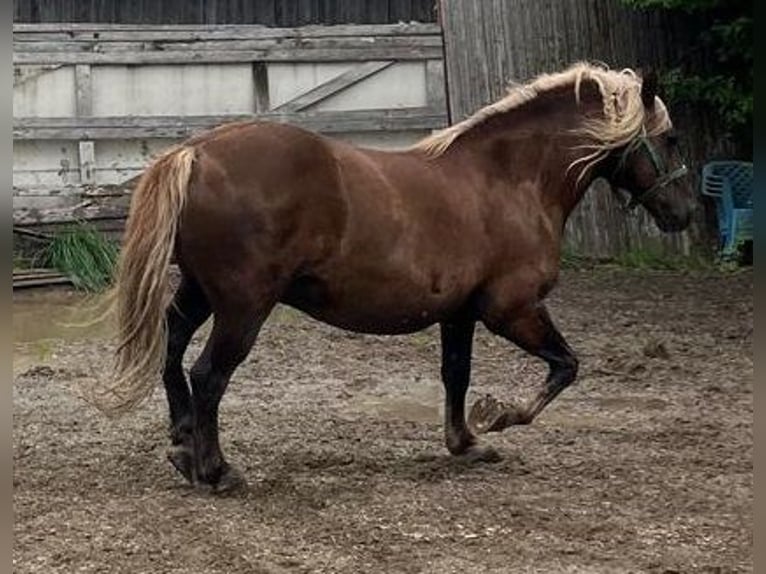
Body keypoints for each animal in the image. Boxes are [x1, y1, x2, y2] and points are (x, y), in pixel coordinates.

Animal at [94, 62, 694, 492]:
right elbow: (565, 366)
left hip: (201, 290)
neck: (507, 179)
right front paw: (500, 417)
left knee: (172, 349)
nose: (684, 213)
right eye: (670, 139)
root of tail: (195, 152)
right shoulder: (512, 308)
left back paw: (181, 446)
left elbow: (456, 374)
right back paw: (216, 470)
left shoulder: (459, 312)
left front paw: (467, 442)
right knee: (208, 375)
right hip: (244, 305)